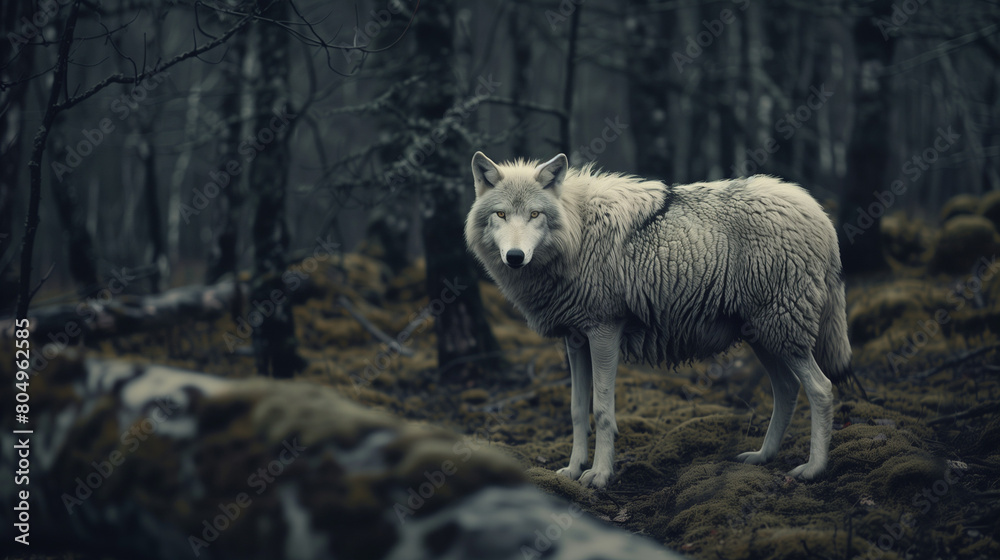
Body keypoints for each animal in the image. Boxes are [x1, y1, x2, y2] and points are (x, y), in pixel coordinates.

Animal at [464, 151, 857, 489]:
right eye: (501, 215)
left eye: (534, 215)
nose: (515, 257)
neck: (578, 232)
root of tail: (819, 213)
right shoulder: (575, 339)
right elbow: (577, 411)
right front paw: (573, 470)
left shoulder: (604, 332)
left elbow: (602, 411)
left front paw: (600, 475)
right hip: (765, 337)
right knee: (787, 390)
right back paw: (762, 456)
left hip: (782, 332)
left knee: (821, 389)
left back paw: (813, 469)